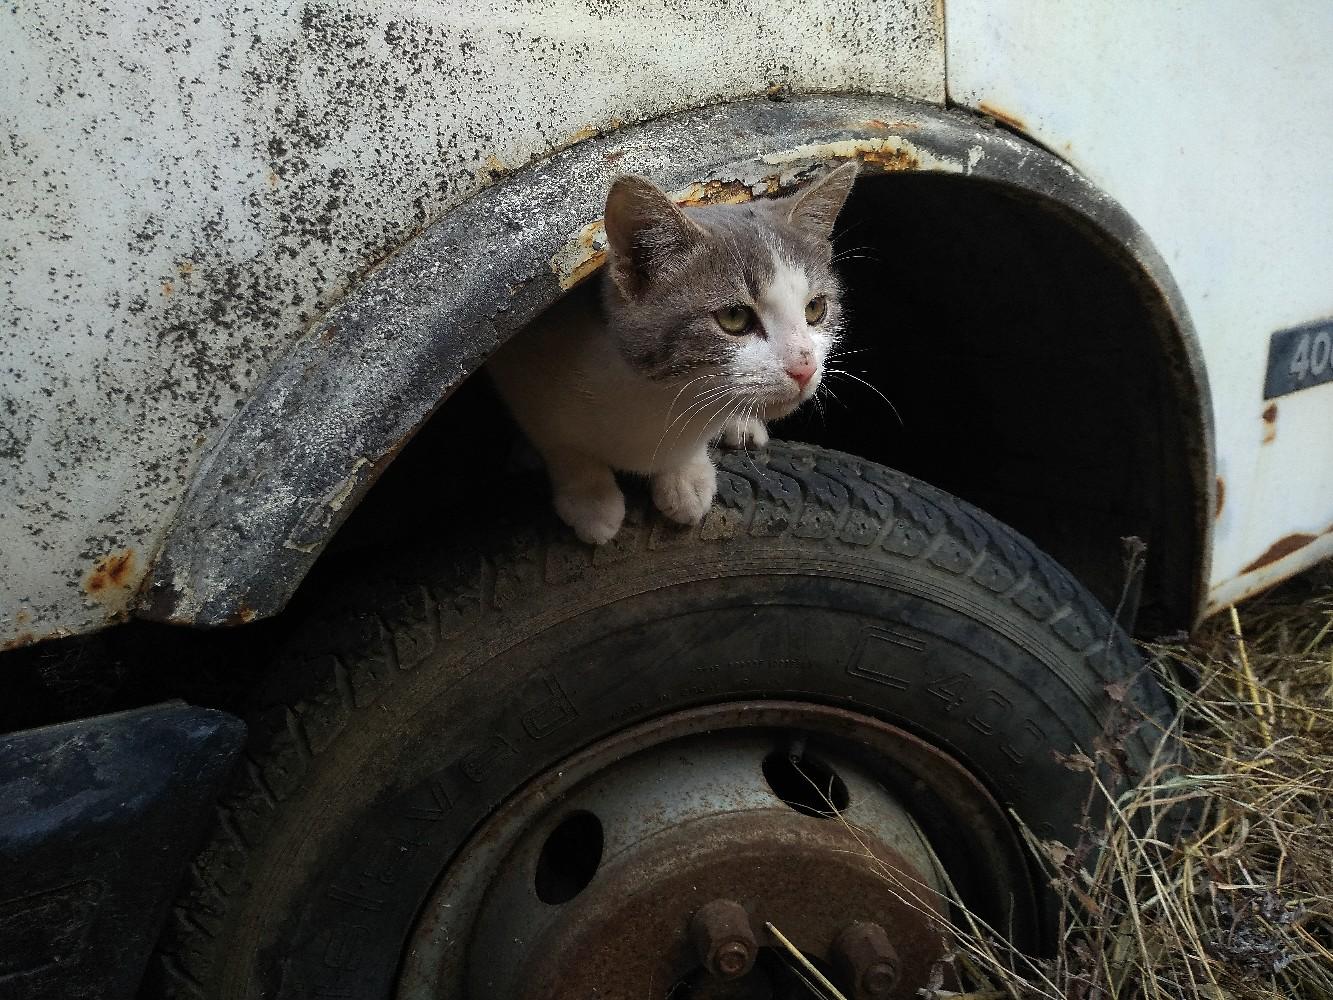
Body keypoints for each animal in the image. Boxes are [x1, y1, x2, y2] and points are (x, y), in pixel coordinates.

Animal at [487, 162, 853, 549]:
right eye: (734, 317)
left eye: (815, 308)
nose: (804, 367)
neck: (660, 399)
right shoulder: (525, 366)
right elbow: (563, 447)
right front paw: (591, 501)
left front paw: (684, 476)